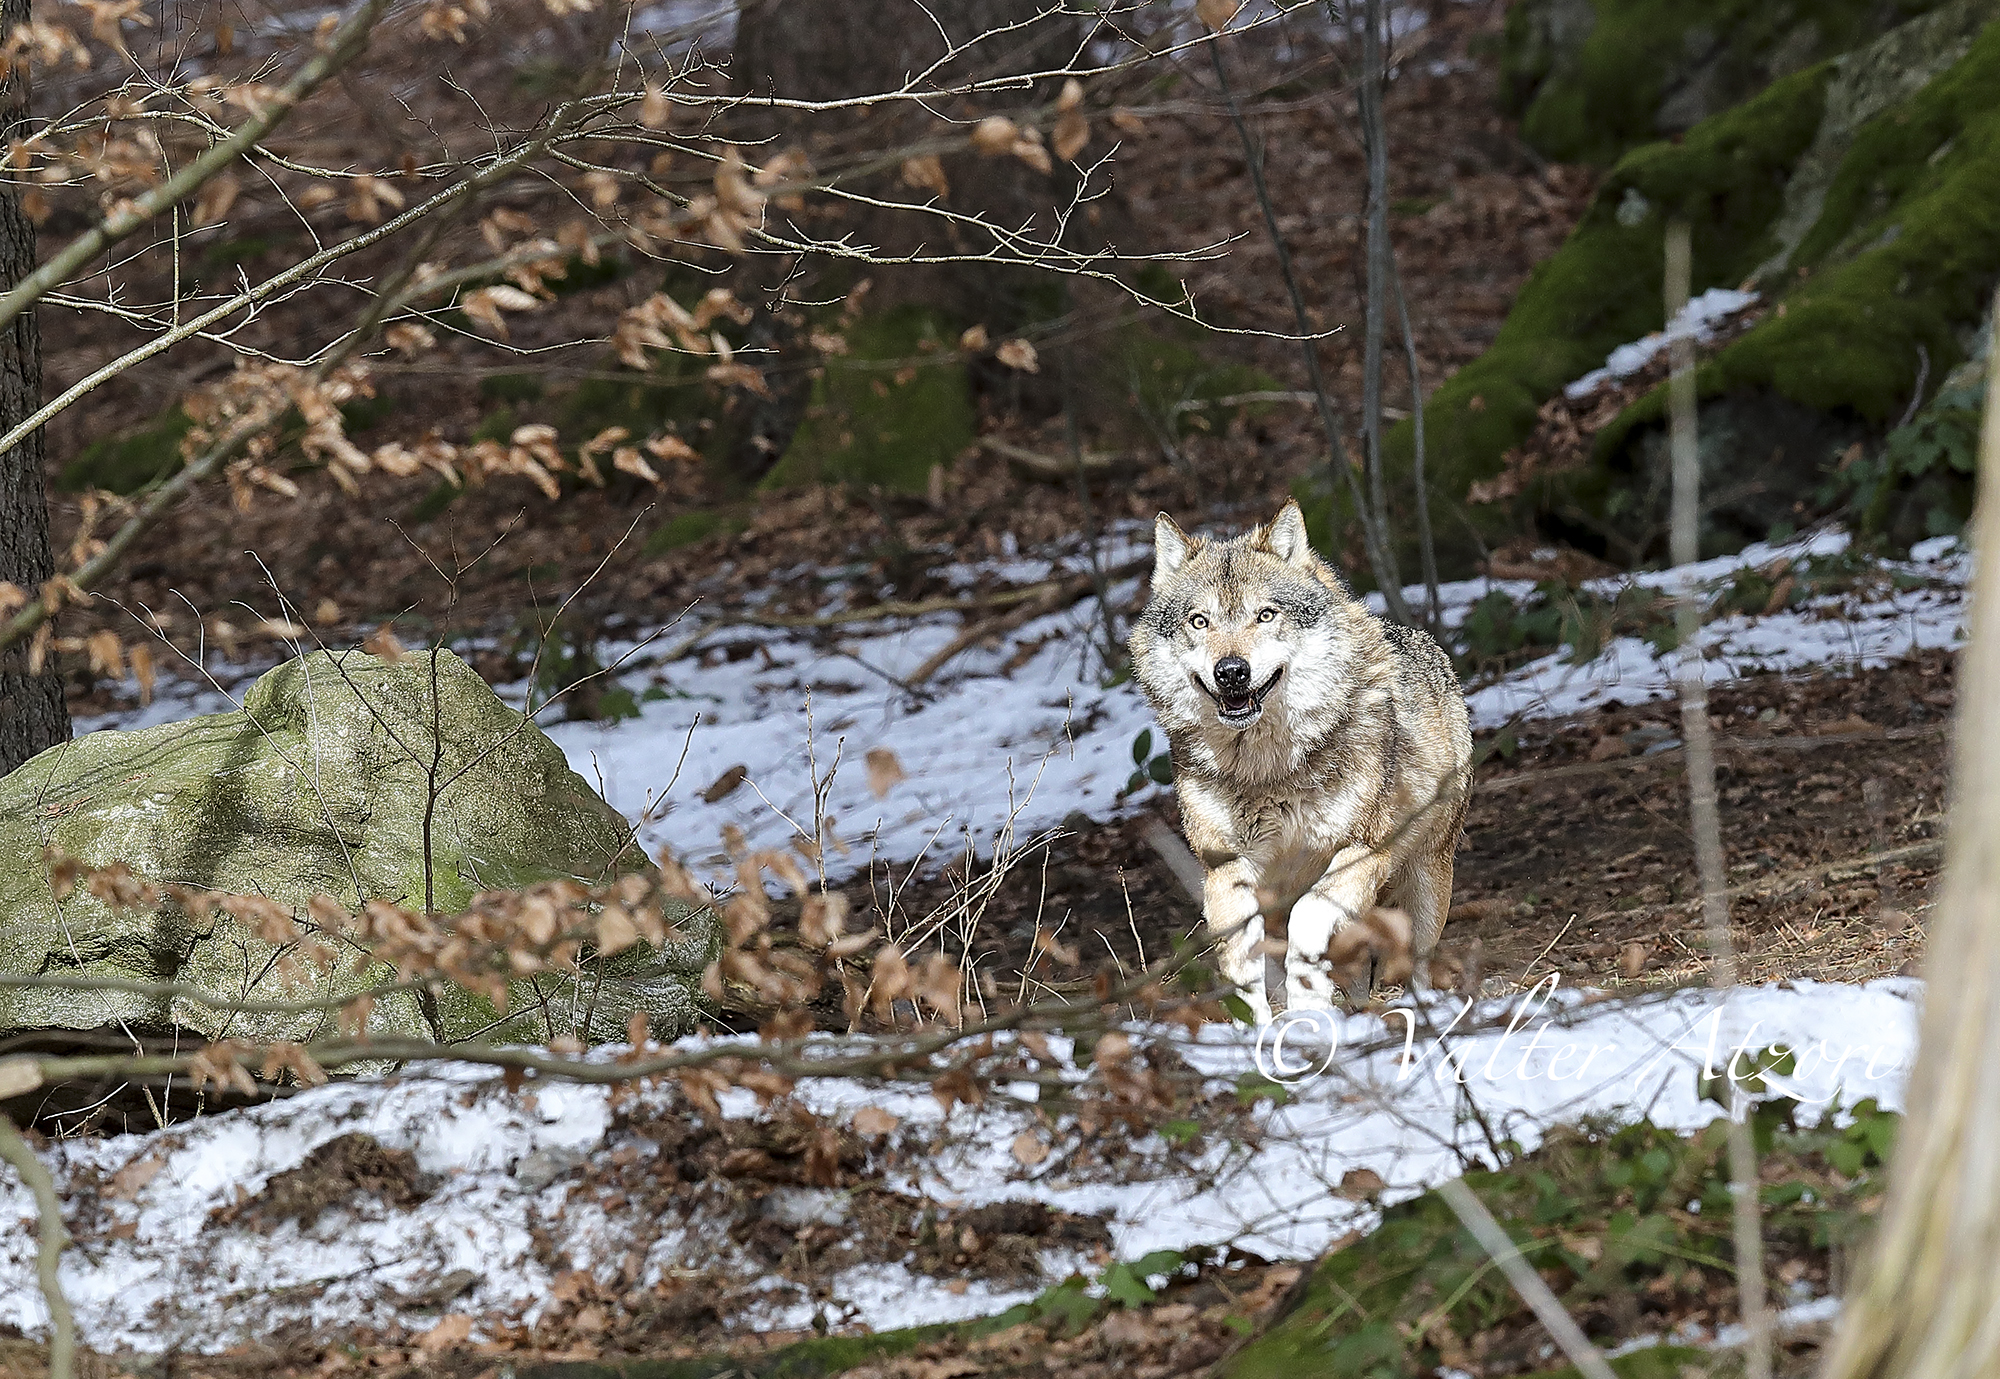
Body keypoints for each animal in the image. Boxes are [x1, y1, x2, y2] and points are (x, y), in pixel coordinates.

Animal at [1127, 499, 1473, 1021]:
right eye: (1199, 621)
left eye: (1265, 615)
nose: (1231, 672)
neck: (1266, 769)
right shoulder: (1225, 870)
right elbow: (1242, 960)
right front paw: (1257, 1025)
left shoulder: (1362, 851)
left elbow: (1307, 915)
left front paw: (1307, 1005)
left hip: (1426, 883)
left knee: (1414, 961)